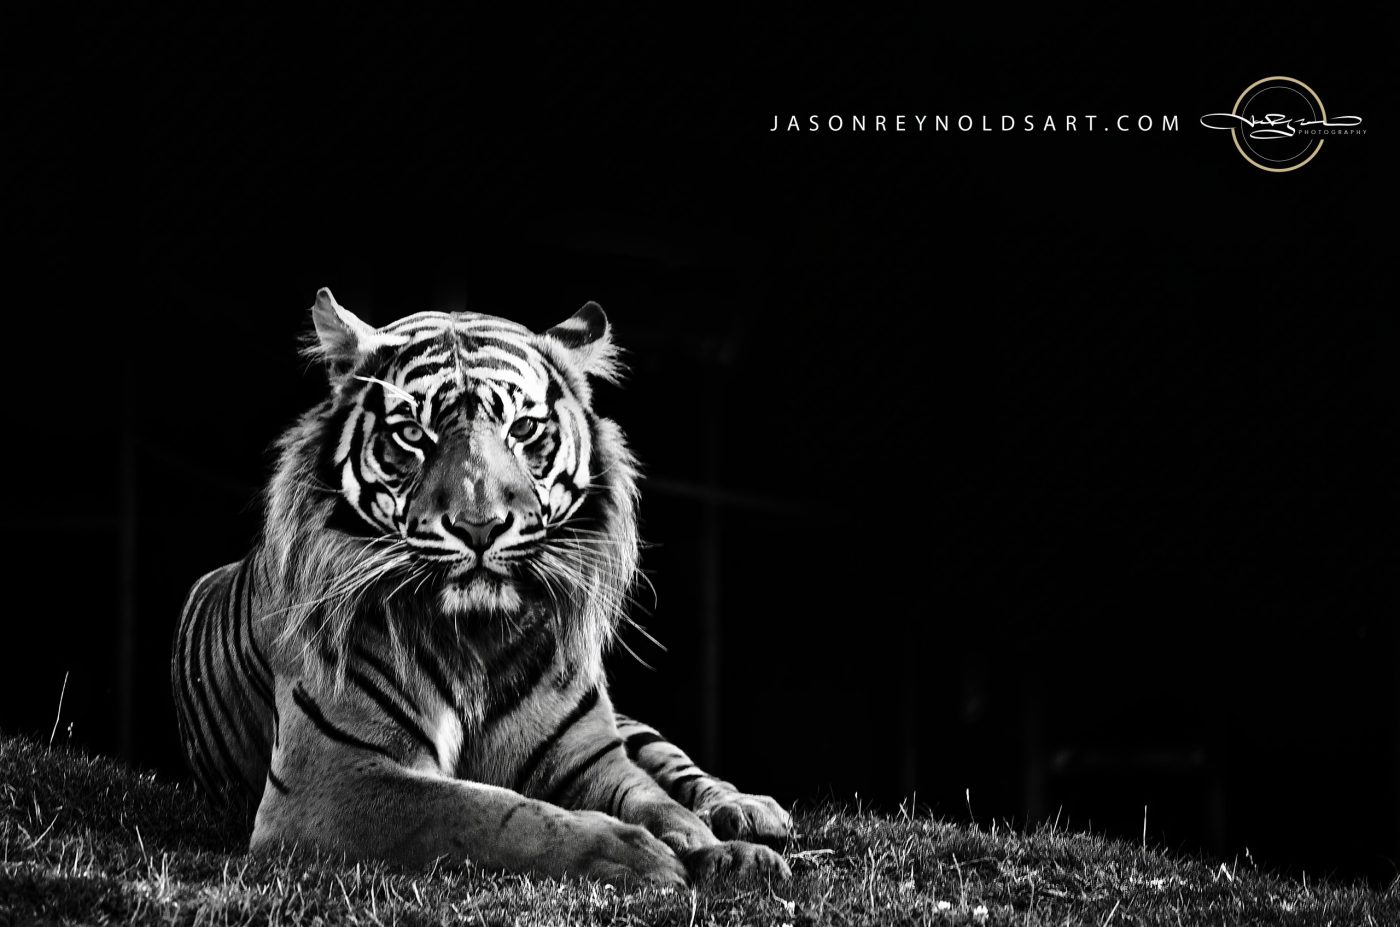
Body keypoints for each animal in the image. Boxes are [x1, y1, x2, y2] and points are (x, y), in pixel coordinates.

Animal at [170, 288, 792, 887]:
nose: (479, 526)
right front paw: (638, 855)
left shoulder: (593, 758)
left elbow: (661, 805)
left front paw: (729, 855)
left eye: (523, 429)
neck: (478, 636)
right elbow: (494, 814)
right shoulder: (333, 776)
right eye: (413, 434)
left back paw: (750, 811)